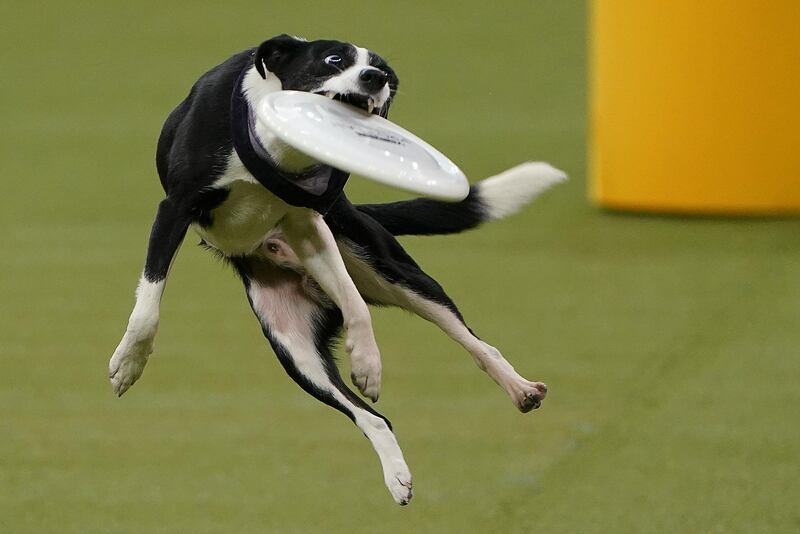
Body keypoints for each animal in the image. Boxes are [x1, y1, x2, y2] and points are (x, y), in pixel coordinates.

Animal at [109, 34, 564, 506]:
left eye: (384, 71)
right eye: (333, 59)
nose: (375, 78)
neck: (281, 151)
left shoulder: (310, 226)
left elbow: (356, 304)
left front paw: (367, 361)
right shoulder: (174, 209)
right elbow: (148, 304)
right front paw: (129, 363)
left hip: (388, 270)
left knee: (469, 343)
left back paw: (516, 390)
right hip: (295, 349)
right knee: (372, 416)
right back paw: (398, 474)